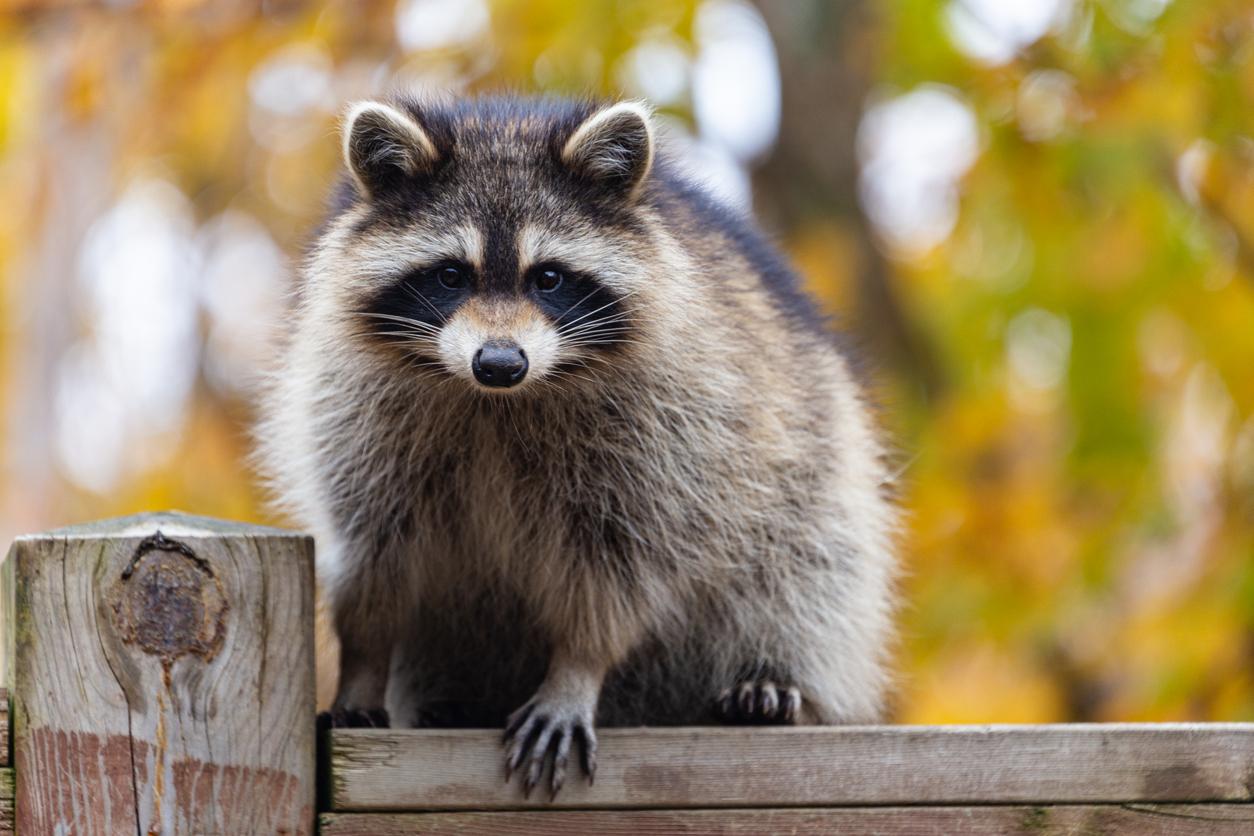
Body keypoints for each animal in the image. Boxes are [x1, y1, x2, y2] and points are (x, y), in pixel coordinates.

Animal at [259, 94, 897, 797]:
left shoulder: (675, 430)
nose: (500, 362)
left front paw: (577, 669)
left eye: (549, 278)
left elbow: (620, 567)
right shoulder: (356, 419)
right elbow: (375, 558)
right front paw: (364, 663)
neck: (497, 402)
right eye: (451, 275)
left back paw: (778, 681)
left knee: (809, 570)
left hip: (816, 468)